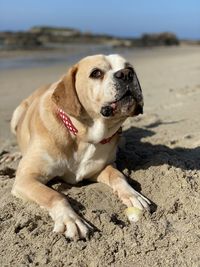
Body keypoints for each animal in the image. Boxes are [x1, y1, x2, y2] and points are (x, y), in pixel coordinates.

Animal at [10, 54, 149, 241]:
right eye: (96, 73)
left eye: (130, 68)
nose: (126, 74)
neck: (84, 137)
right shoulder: (26, 179)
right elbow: (54, 195)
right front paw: (70, 219)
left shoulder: (101, 168)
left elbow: (118, 176)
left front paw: (133, 194)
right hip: (16, 114)